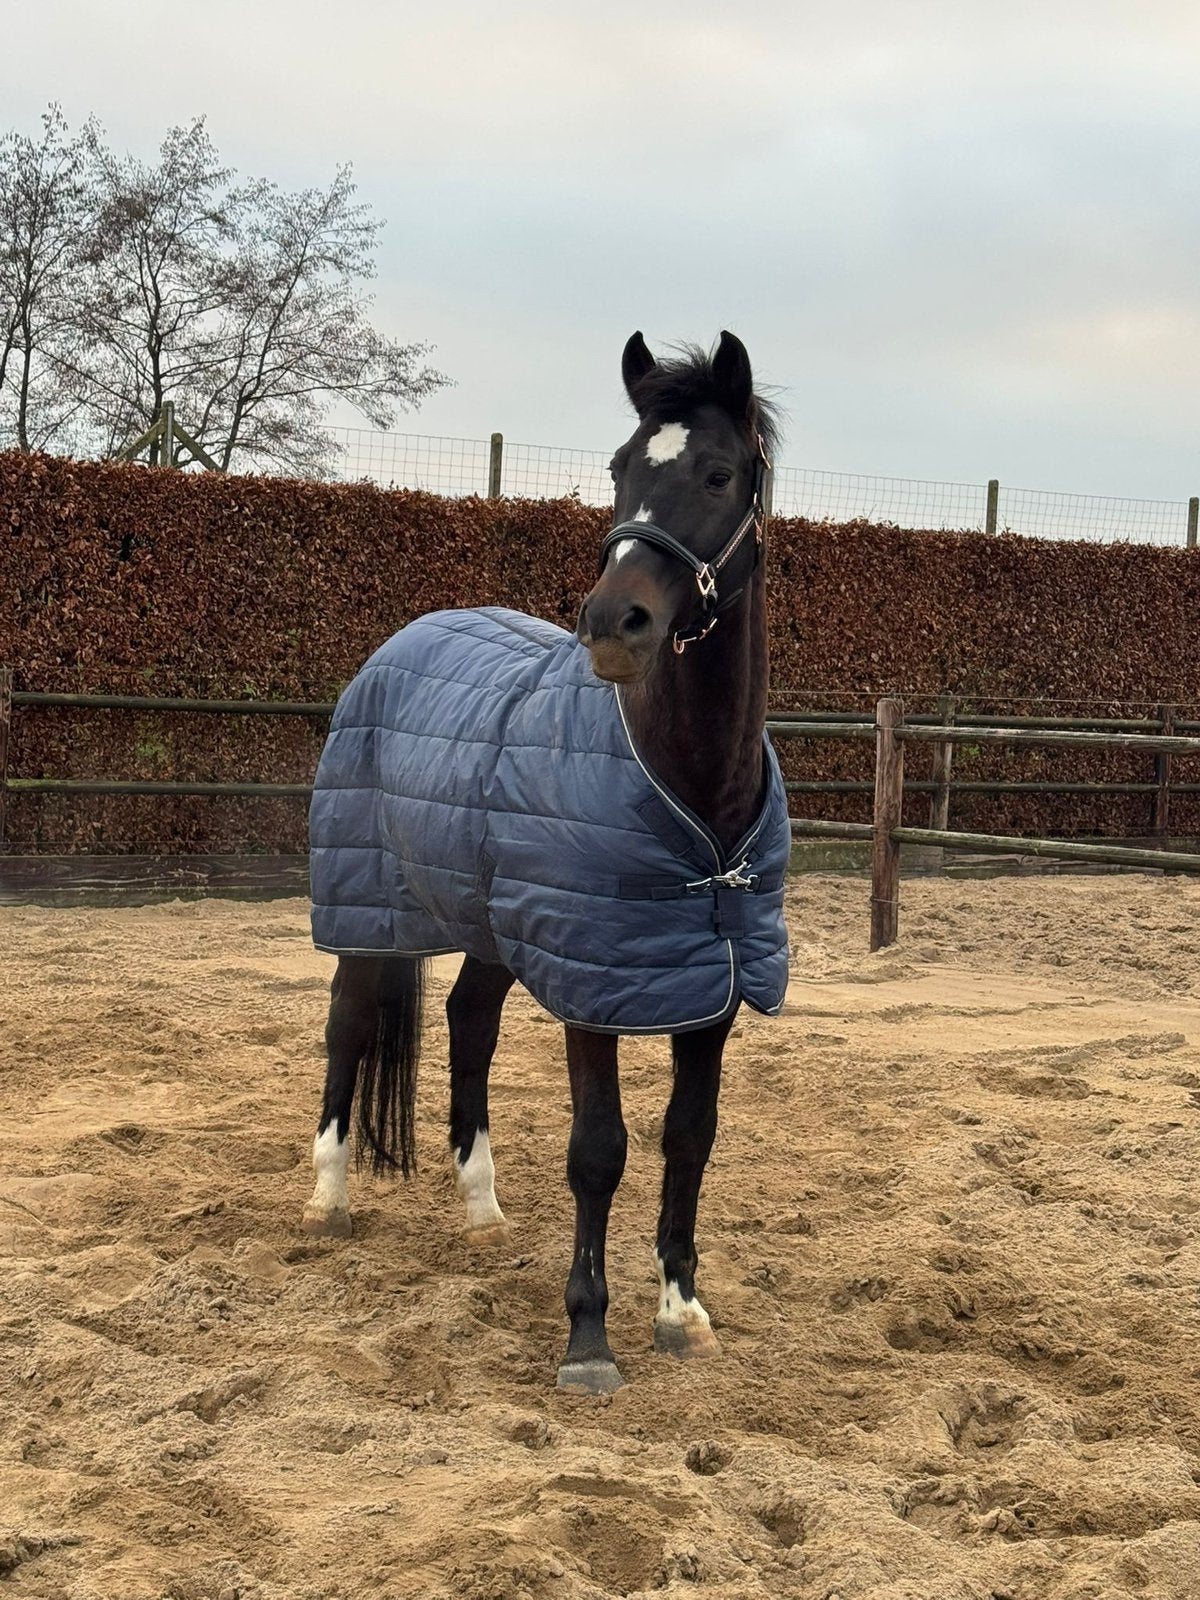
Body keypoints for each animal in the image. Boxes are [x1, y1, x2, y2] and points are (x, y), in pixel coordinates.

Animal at [302, 330, 788, 1395]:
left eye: (718, 472)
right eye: (618, 469)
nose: (614, 623)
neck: (696, 802)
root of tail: (403, 640)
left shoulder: (712, 992)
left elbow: (689, 1140)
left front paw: (682, 1311)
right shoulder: (593, 991)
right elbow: (599, 1151)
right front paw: (588, 1340)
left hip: (493, 928)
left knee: (468, 1024)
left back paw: (482, 1209)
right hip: (367, 914)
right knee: (348, 1028)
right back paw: (326, 1200)